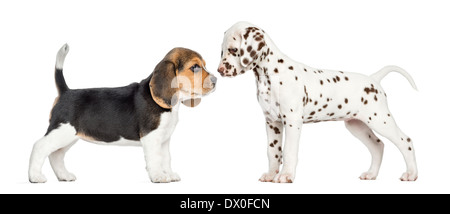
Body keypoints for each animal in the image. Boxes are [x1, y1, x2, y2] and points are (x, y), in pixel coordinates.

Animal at [29, 44, 217, 183]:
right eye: (195, 67)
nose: (216, 80)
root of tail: (66, 92)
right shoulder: (151, 137)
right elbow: (155, 158)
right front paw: (158, 176)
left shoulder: (164, 139)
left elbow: (166, 158)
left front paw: (169, 174)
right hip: (61, 131)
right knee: (39, 146)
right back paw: (35, 177)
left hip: (69, 136)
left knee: (56, 155)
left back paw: (63, 176)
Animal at [218, 21, 418, 182]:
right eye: (222, 51)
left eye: (233, 50)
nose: (220, 70)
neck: (271, 74)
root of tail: (374, 79)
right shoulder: (272, 122)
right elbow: (273, 151)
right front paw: (270, 174)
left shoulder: (292, 121)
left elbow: (288, 151)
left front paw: (286, 175)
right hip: (357, 125)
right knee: (378, 146)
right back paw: (371, 174)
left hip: (380, 120)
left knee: (405, 141)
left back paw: (411, 174)